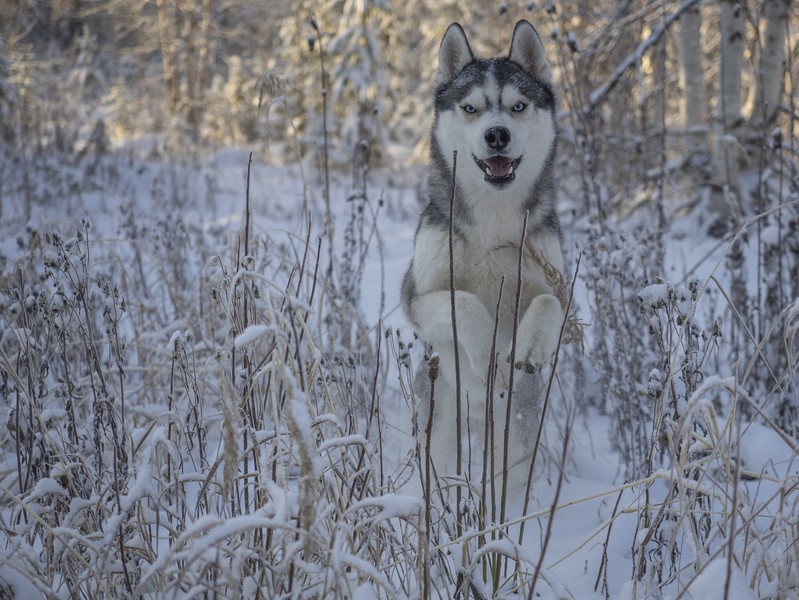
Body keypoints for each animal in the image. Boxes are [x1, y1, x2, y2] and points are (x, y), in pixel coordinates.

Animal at [404, 21, 564, 490]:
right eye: (471, 108)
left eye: (518, 106)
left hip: (516, 435)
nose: (497, 134)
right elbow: (463, 301)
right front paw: (485, 352)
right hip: (439, 428)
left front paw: (528, 345)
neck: (494, 220)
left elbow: (547, 302)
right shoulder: (416, 297)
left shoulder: (557, 288)